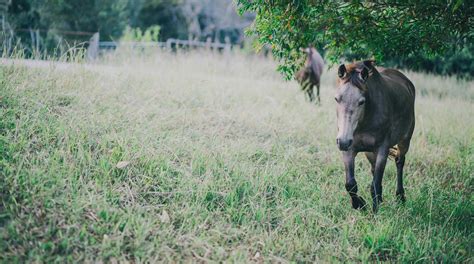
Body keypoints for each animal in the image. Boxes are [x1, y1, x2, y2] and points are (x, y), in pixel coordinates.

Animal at [334, 60, 414, 212]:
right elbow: (350, 184)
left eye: (361, 101)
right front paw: (360, 204)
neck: (365, 121)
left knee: (400, 161)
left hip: (405, 140)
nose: (343, 141)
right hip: (369, 152)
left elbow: (375, 184)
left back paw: (400, 196)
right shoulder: (349, 150)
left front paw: (375, 211)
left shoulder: (382, 149)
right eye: (336, 99)